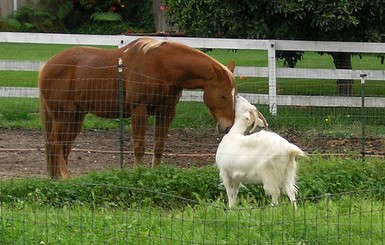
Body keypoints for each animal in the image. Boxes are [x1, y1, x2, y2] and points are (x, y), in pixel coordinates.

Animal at [39, 36, 237, 178]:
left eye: (235, 95)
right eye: (223, 95)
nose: (228, 126)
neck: (161, 67)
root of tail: (46, 66)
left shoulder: (166, 112)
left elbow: (159, 145)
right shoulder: (139, 111)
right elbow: (139, 146)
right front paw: (137, 172)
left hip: (75, 118)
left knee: (64, 146)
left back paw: (59, 177)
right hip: (63, 116)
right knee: (56, 143)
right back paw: (66, 177)